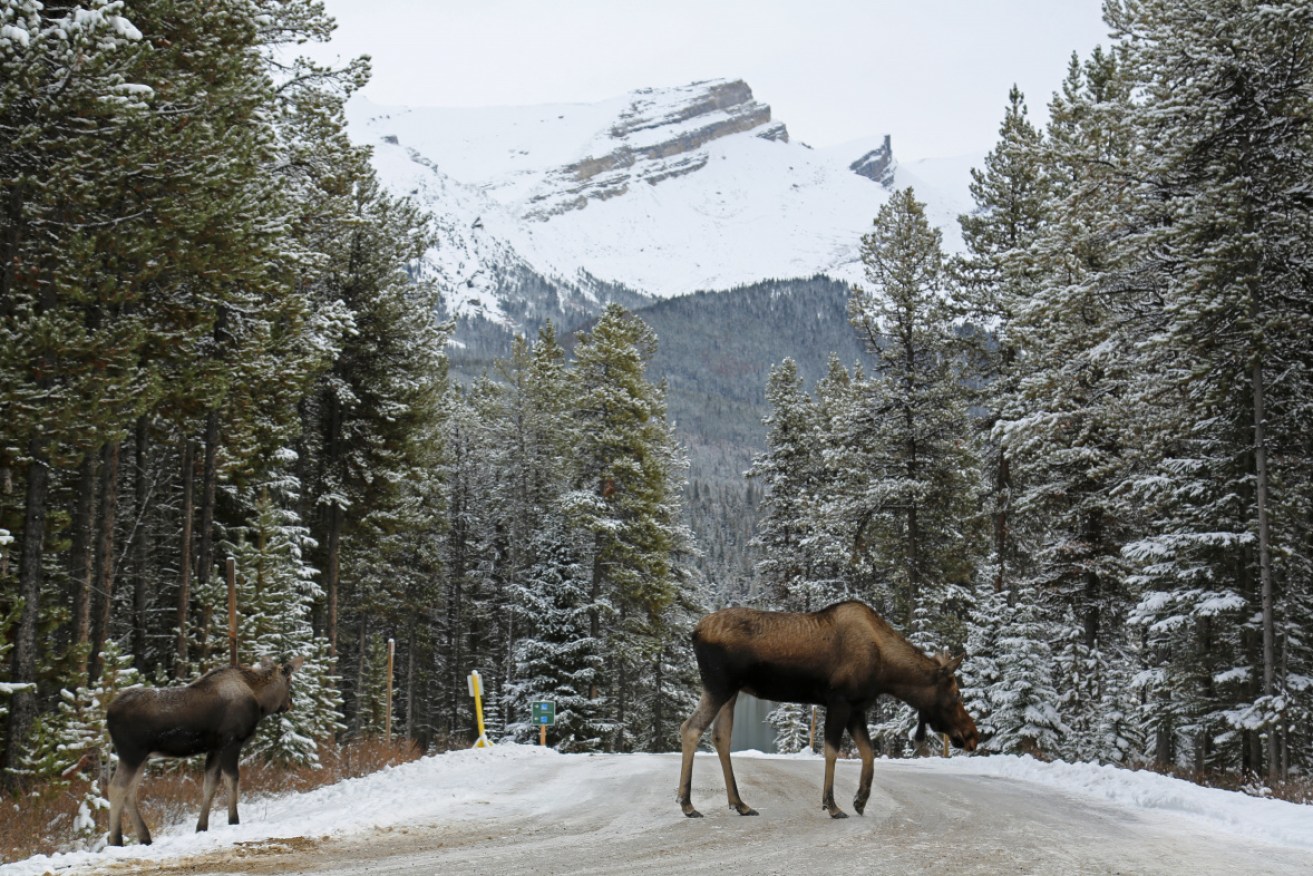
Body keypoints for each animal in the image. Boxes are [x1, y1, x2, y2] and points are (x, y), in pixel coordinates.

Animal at [106, 654, 303, 845]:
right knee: (116, 788)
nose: (290, 703)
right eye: (289, 680)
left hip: (142, 757)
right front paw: (233, 820)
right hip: (131, 754)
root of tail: (108, 714)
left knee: (130, 792)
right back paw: (116, 840)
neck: (260, 701)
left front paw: (201, 827)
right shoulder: (231, 743)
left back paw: (144, 837)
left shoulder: (215, 749)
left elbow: (210, 784)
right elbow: (232, 780)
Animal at [677, 598, 976, 819]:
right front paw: (832, 805)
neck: (886, 671)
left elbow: (868, 753)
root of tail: (694, 633)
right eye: (956, 693)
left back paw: (740, 803)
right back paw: (687, 804)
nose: (972, 735)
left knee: (721, 736)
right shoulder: (839, 701)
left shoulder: (857, 708)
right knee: (690, 728)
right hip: (719, 686)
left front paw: (860, 799)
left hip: (732, 691)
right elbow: (831, 751)